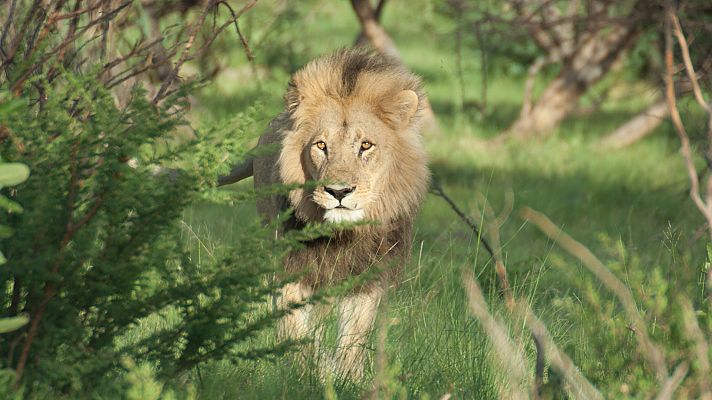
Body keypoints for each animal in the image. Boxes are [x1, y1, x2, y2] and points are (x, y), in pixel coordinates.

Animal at [220, 49, 429, 380]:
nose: (339, 192)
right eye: (321, 145)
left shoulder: (367, 275)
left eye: (365, 145)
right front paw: (306, 374)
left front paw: (347, 378)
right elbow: (294, 328)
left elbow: (354, 336)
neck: (341, 235)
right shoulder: (290, 265)